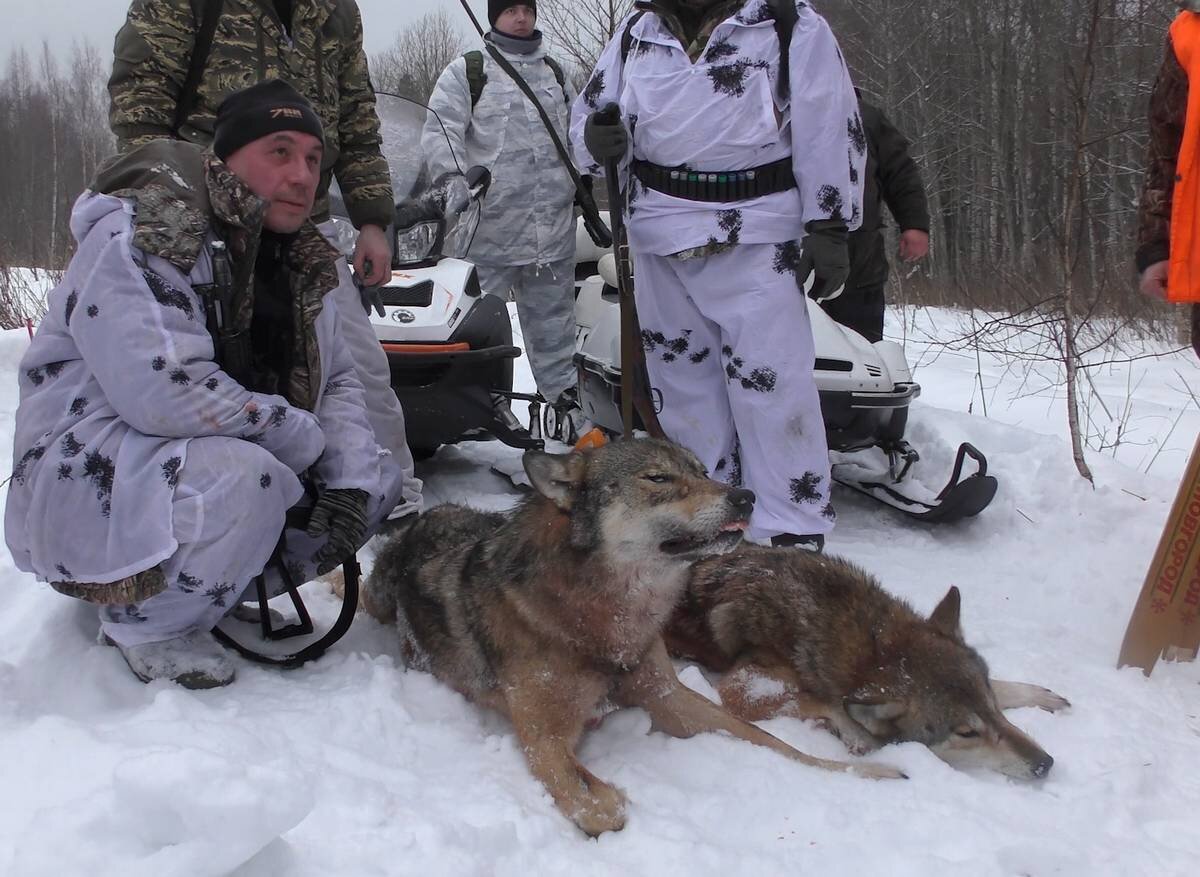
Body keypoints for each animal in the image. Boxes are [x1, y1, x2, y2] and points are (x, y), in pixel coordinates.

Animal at [362, 439, 902, 835]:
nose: (745, 496)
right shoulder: (542, 738)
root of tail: (429, 515)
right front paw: (608, 799)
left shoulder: (668, 695)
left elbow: (774, 743)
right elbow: (599, 807)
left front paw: (869, 772)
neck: (605, 619)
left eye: (703, 471)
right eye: (658, 478)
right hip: (376, 602)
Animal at [667, 544, 1070, 777]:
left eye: (993, 710)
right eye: (967, 733)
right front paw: (859, 737)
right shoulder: (743, 688)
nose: (1045, 764)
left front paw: (1037, 695)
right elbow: (829, 703)